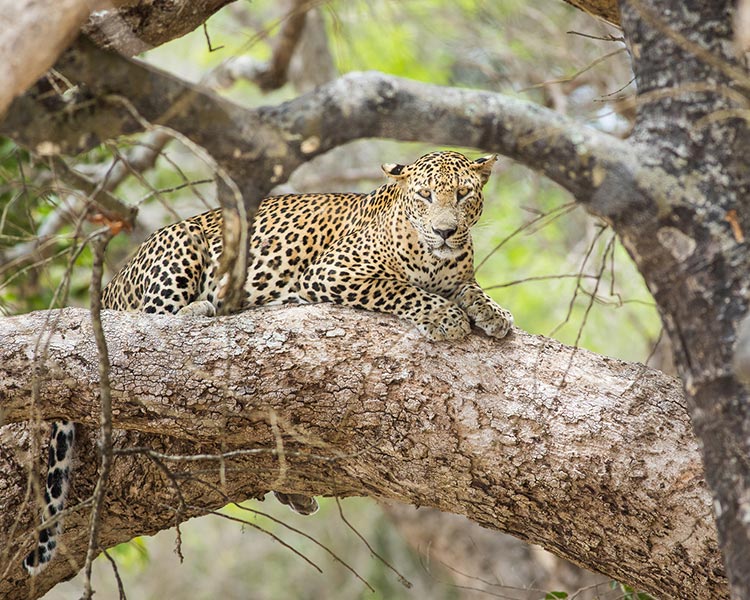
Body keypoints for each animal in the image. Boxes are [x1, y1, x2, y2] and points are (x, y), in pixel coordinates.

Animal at [25, 149, 516, 572]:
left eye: (464, 194)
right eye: (425, 196)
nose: (445, 232)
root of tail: (114, 281)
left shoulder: (456, 272)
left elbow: (471, 286)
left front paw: (493, 313)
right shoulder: (336, 272)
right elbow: (402, 289)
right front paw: (447, 317)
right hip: (180, 250)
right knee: (151, 323)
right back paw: (203, 309)